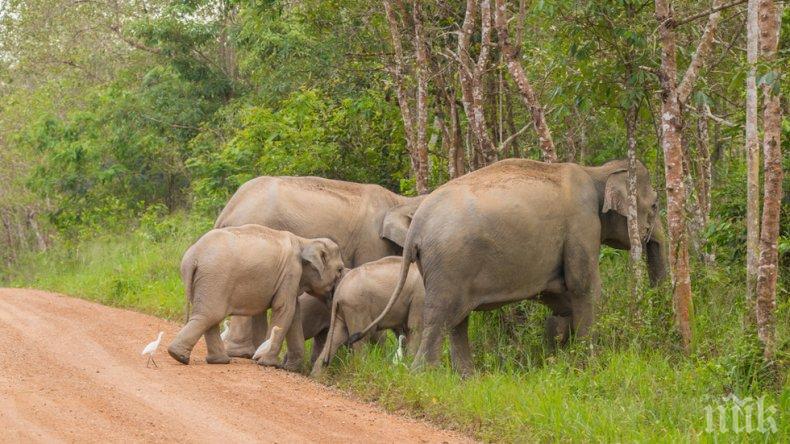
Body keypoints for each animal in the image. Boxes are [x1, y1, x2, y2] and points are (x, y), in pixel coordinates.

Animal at [169, 224, 344, 370]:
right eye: (340, 269)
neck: (305, 241)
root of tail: (193, 257)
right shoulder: (291, 271)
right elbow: (284, 309)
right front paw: (268, 363)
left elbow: (290, 313)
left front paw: (289, 368)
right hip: (215, 278)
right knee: (210, 316)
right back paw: (180, 356)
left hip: (203, 281)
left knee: (208, 317)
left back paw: (215, 360)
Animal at [356, 159, 672, 374]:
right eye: (656, 205)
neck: (596, 171)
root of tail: (415, 228)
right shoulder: (582, 224)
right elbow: (584, 286)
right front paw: (587, 367)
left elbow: (560, 295)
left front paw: (559, 353)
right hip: (449, 263)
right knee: (441, 318)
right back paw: (425, 375)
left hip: (443, 268)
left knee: (458, 320)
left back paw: (468, 379)